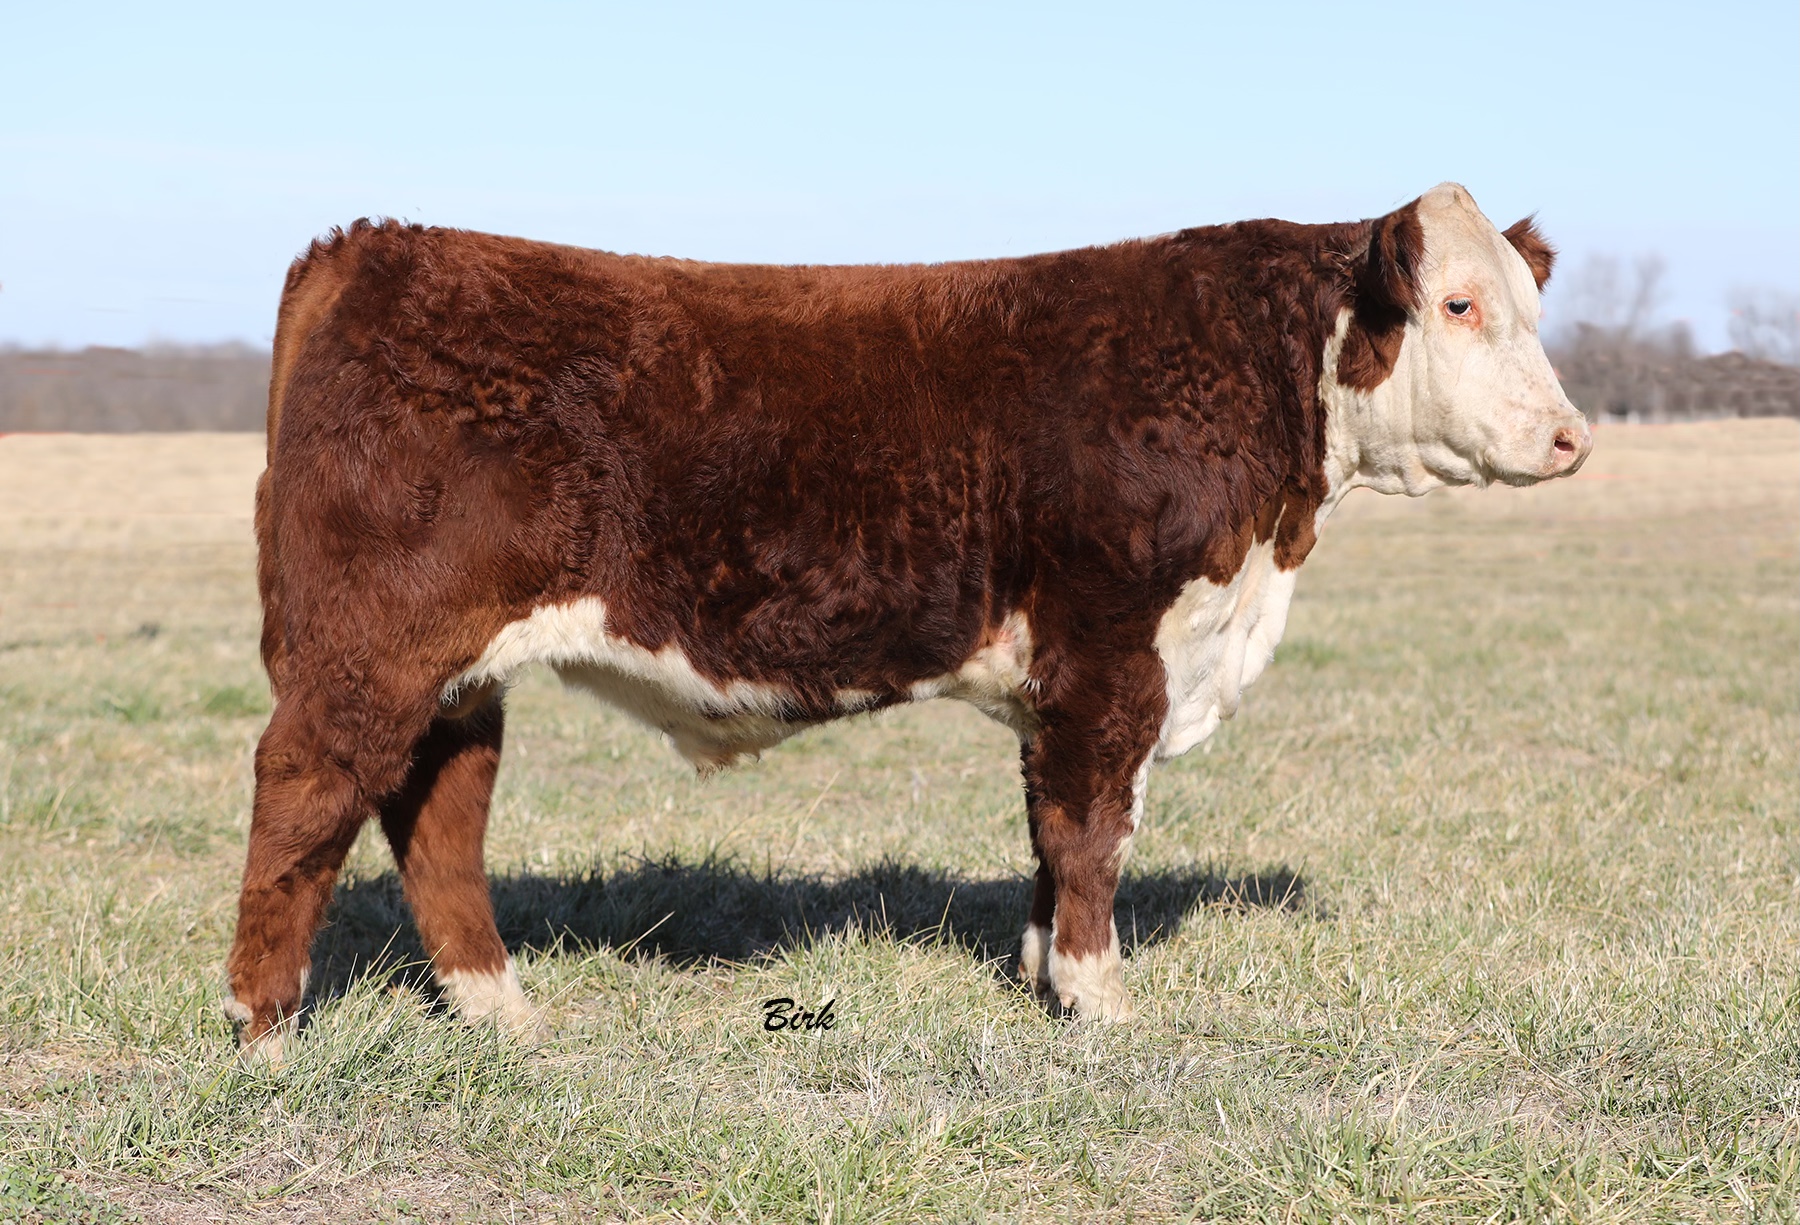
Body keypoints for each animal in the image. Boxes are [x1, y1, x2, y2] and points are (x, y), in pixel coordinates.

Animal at [224, 182, 1589, 1062]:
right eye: (1458, 306)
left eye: (1528, 306)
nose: (1573, 437)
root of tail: (368, 248)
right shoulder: (1112, 648)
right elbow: (1095, 828)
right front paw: (1101, 999)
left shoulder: (1064, 677)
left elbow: (1050, 833)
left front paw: (1044, 975)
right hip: (373, 649)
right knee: (306, 792)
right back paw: (262, 1029)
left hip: (457, 674)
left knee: (438, 816)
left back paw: (499, 1011)